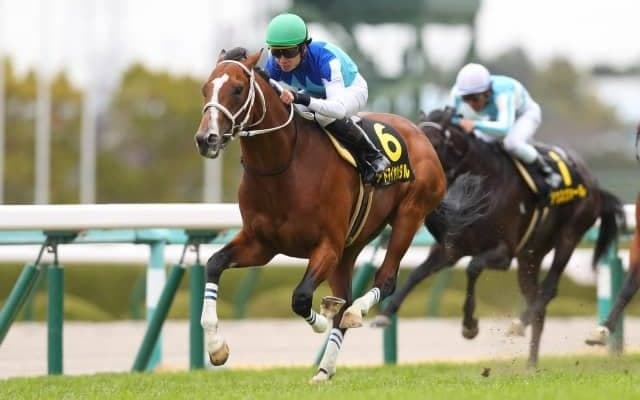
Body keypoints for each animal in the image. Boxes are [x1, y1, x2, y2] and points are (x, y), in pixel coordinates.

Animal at [193, 48, 462, 382]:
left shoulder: (326, 246)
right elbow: (214, 263)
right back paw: (324, 369)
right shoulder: (261, 244)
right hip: (352, 243)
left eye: (238, 89)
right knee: (345, 295)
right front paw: (216, 347)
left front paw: (321, 319)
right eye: (205, 88)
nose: (206, 139)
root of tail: (420, 133)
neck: (283, 166)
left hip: (409, 215)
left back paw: (355, 313)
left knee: (384, 282)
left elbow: (300, 297)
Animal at [372, 107, 625, 368]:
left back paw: (519, 324)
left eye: (435, 143)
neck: (483, 184)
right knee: (537, 301)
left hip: (569, 235)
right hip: (530, 257)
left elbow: (473, 268)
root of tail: (595, 185)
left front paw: (469, 326)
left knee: (548, 289)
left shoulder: (503, 252)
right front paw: (384, 315)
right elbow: (417, 274)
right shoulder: (451, 249)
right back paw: (530, 364)